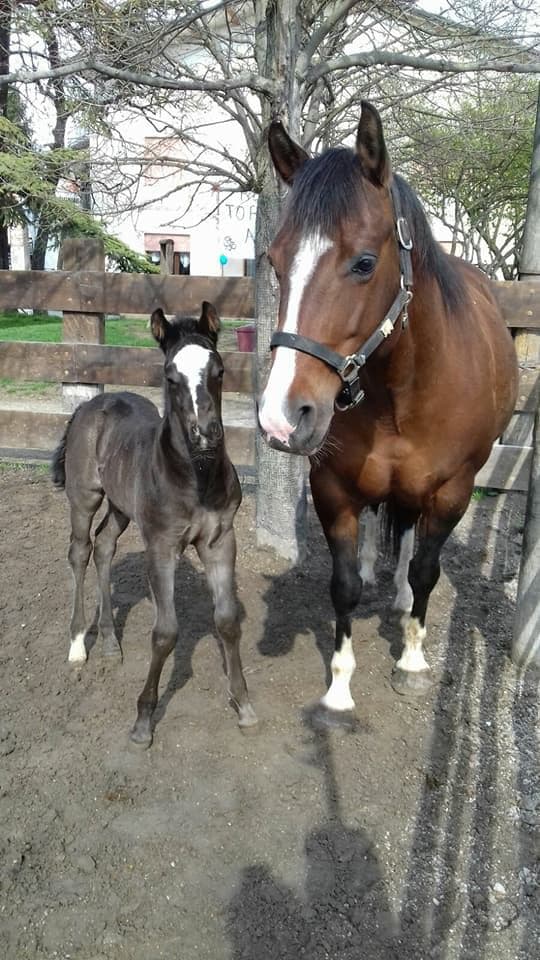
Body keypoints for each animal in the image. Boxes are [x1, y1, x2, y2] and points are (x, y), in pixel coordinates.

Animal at [52, 301, 257, 746]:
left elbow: (227, 619)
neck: (196, 476)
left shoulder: (220, 540)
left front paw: (243, 703)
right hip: (84, 497)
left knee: (105, 545)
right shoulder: (161, 546)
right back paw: (78, 645)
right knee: (80, 550)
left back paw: (109, 642)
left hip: (121, 507)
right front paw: (143, 720)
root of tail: (93, 404)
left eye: (219, 370)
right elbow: (165, 633)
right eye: (170, 375)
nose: (205, 434)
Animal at [258, 101, 518, 714]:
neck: (405, 393)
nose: (282, 417)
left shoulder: (453, 491)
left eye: (363, 263)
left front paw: (414, 659)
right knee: (387, 521)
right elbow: (344, 586)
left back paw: (398, 594)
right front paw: (338, 685)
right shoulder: (334, 488)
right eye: (275, 262)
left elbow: (425, 568)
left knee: (410, 540)